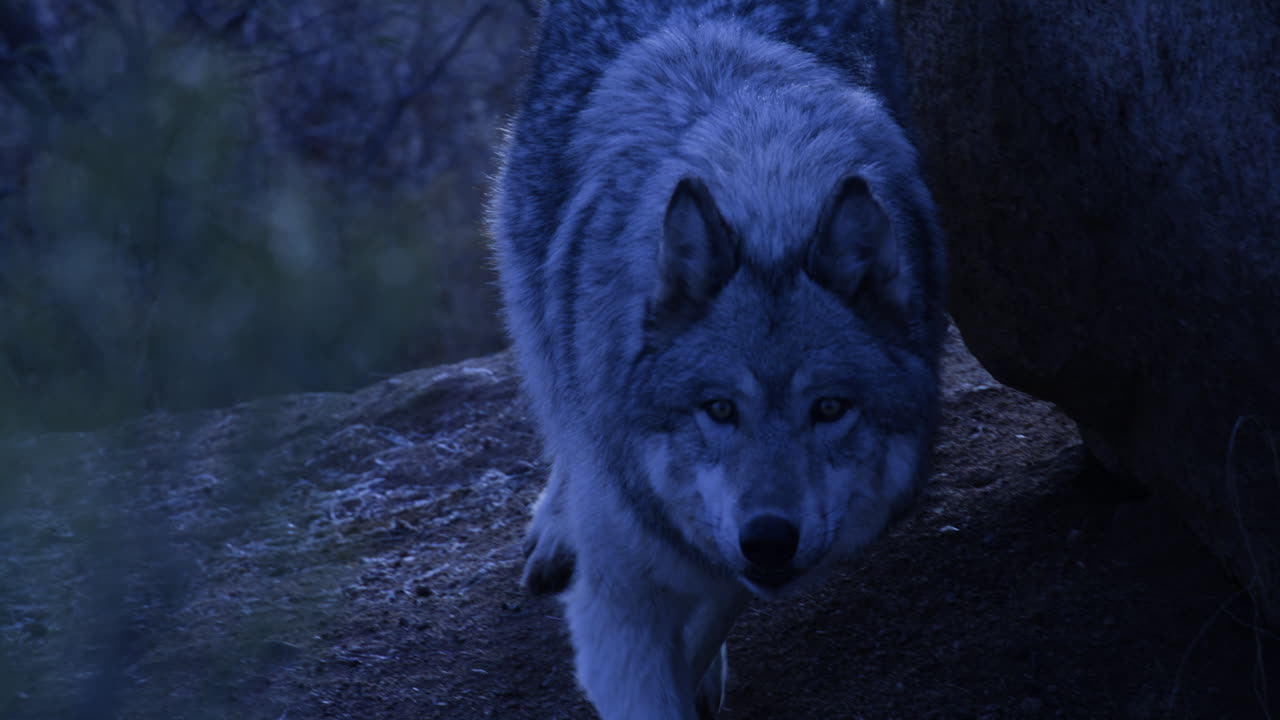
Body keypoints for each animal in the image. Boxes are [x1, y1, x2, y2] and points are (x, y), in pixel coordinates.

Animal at [489, 1, 946, 717]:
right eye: (720, 409)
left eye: (830, 408)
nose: (769, 537)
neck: (768, 198)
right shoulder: (620, 593)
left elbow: (713, 600)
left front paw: (701, 666)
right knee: (557, 408)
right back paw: (557, 528)